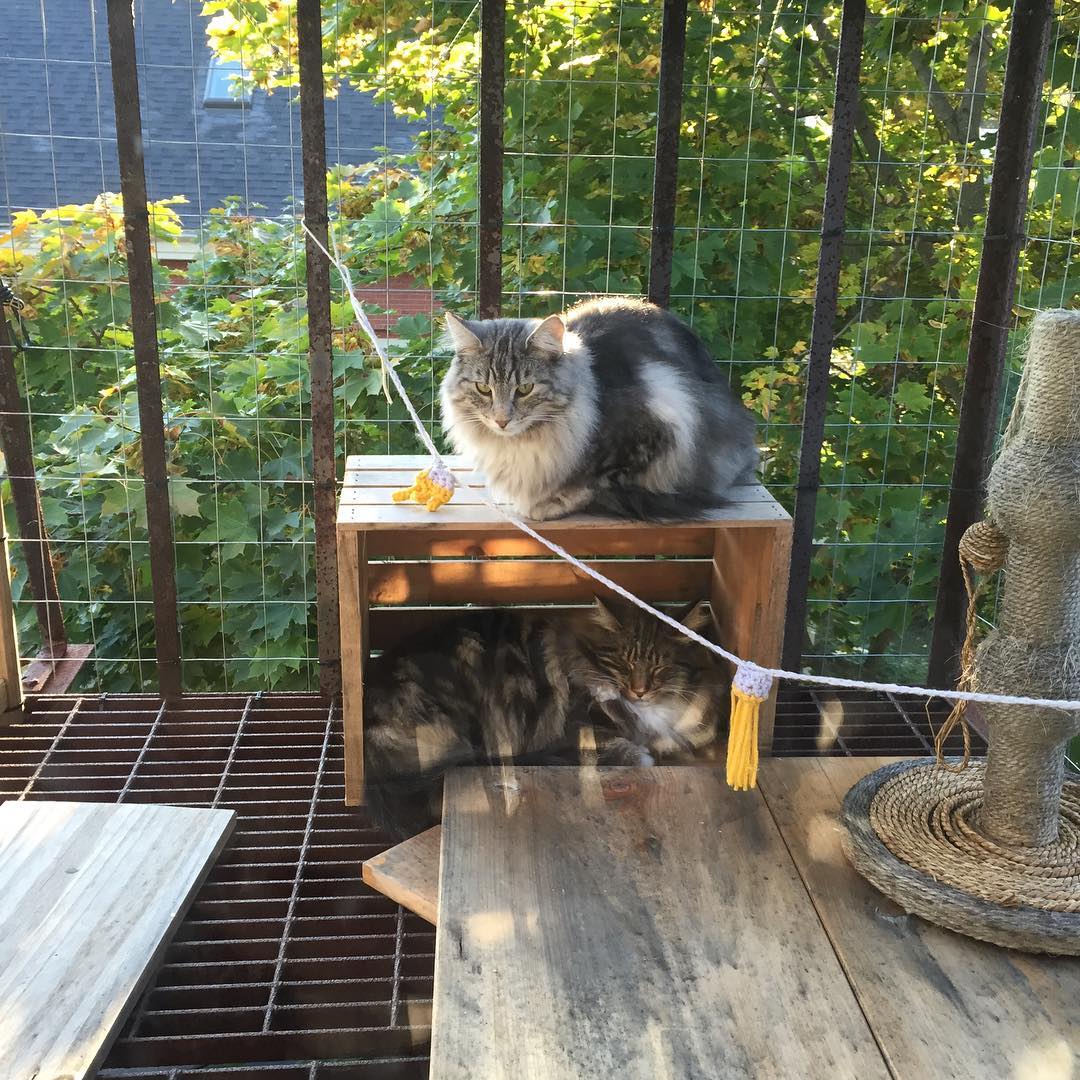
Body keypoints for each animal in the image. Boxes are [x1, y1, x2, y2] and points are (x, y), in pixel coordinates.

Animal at [440, 298, 760, 520]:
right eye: (484, 389)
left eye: (525, 389)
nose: (501, 421)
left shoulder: (663, 422)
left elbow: (596, 480)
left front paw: (549, 503)